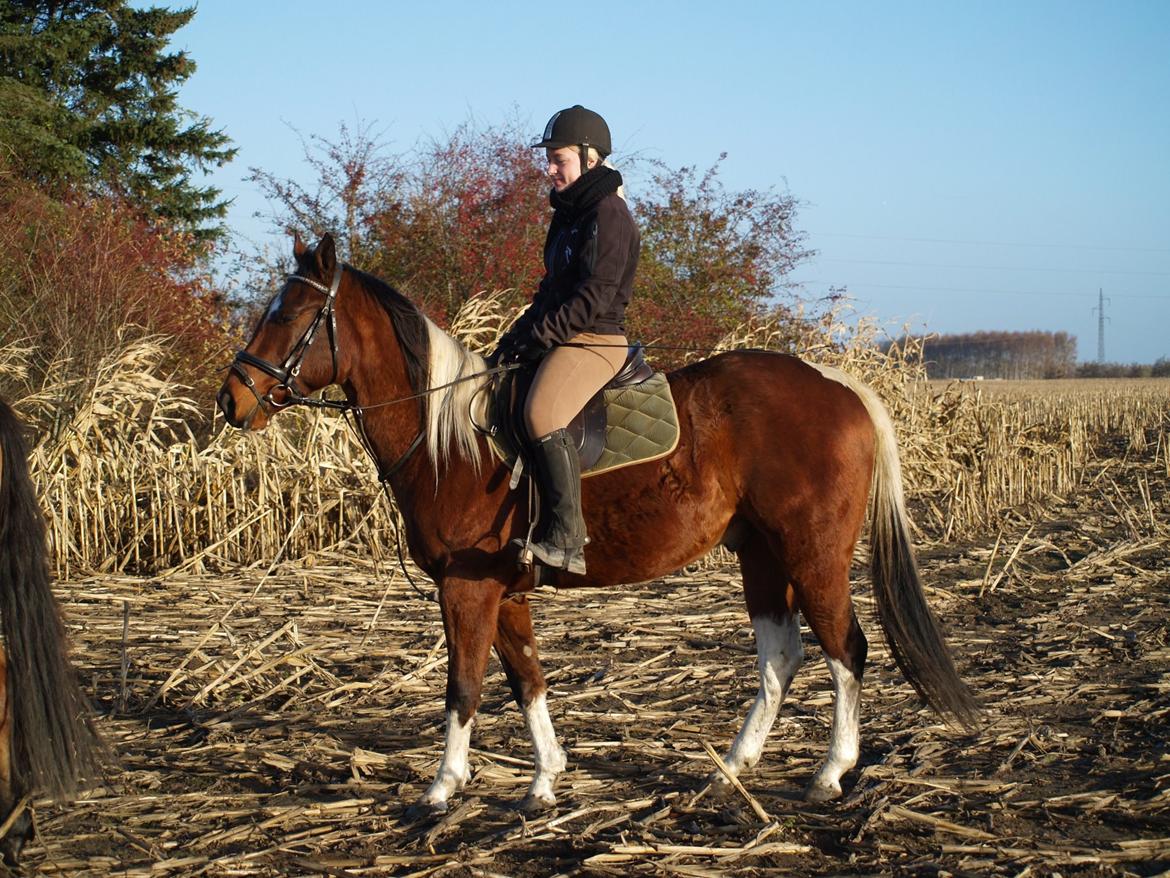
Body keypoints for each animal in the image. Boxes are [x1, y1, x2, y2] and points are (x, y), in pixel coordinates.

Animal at [212, 235, 978, 819]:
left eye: (292, 314)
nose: (231, 401)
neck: (450, 439)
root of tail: (836, 383)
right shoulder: (505, 593)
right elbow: (527, 680)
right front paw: (545, 781)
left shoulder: (465, 590)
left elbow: (463, 686)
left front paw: (440, 789)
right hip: (762, 556)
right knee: (780, 658)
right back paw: (730, 769)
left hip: (812, 556)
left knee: (846, 650)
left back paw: (829, 773)